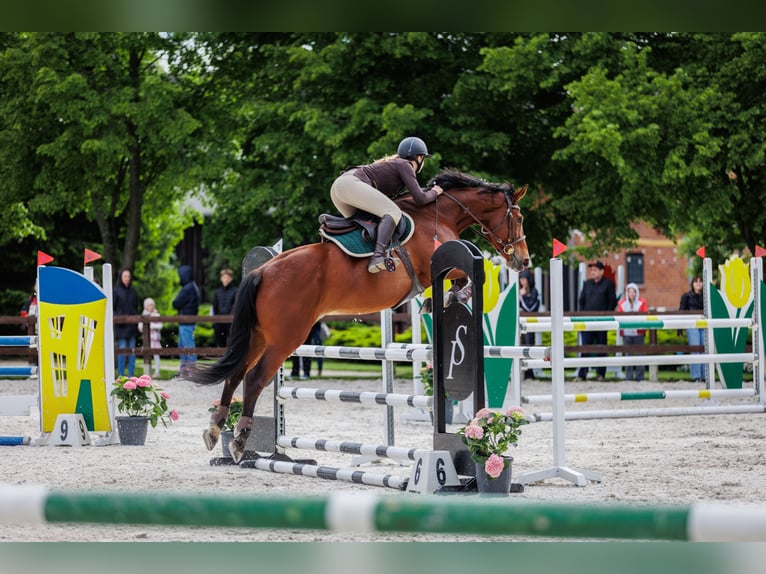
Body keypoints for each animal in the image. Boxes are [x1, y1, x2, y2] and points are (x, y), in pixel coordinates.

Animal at [191, 169, 530, 463]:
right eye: (519, 217)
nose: (523, 261)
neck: (437, 214)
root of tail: (262, 270)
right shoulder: (435, 266)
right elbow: (465, 278)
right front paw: (448, 298)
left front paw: (442, 300)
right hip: (285, 339)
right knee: (256, 378)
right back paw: (238, 441)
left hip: (259, 336)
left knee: (236, 374)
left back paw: (215, 429)